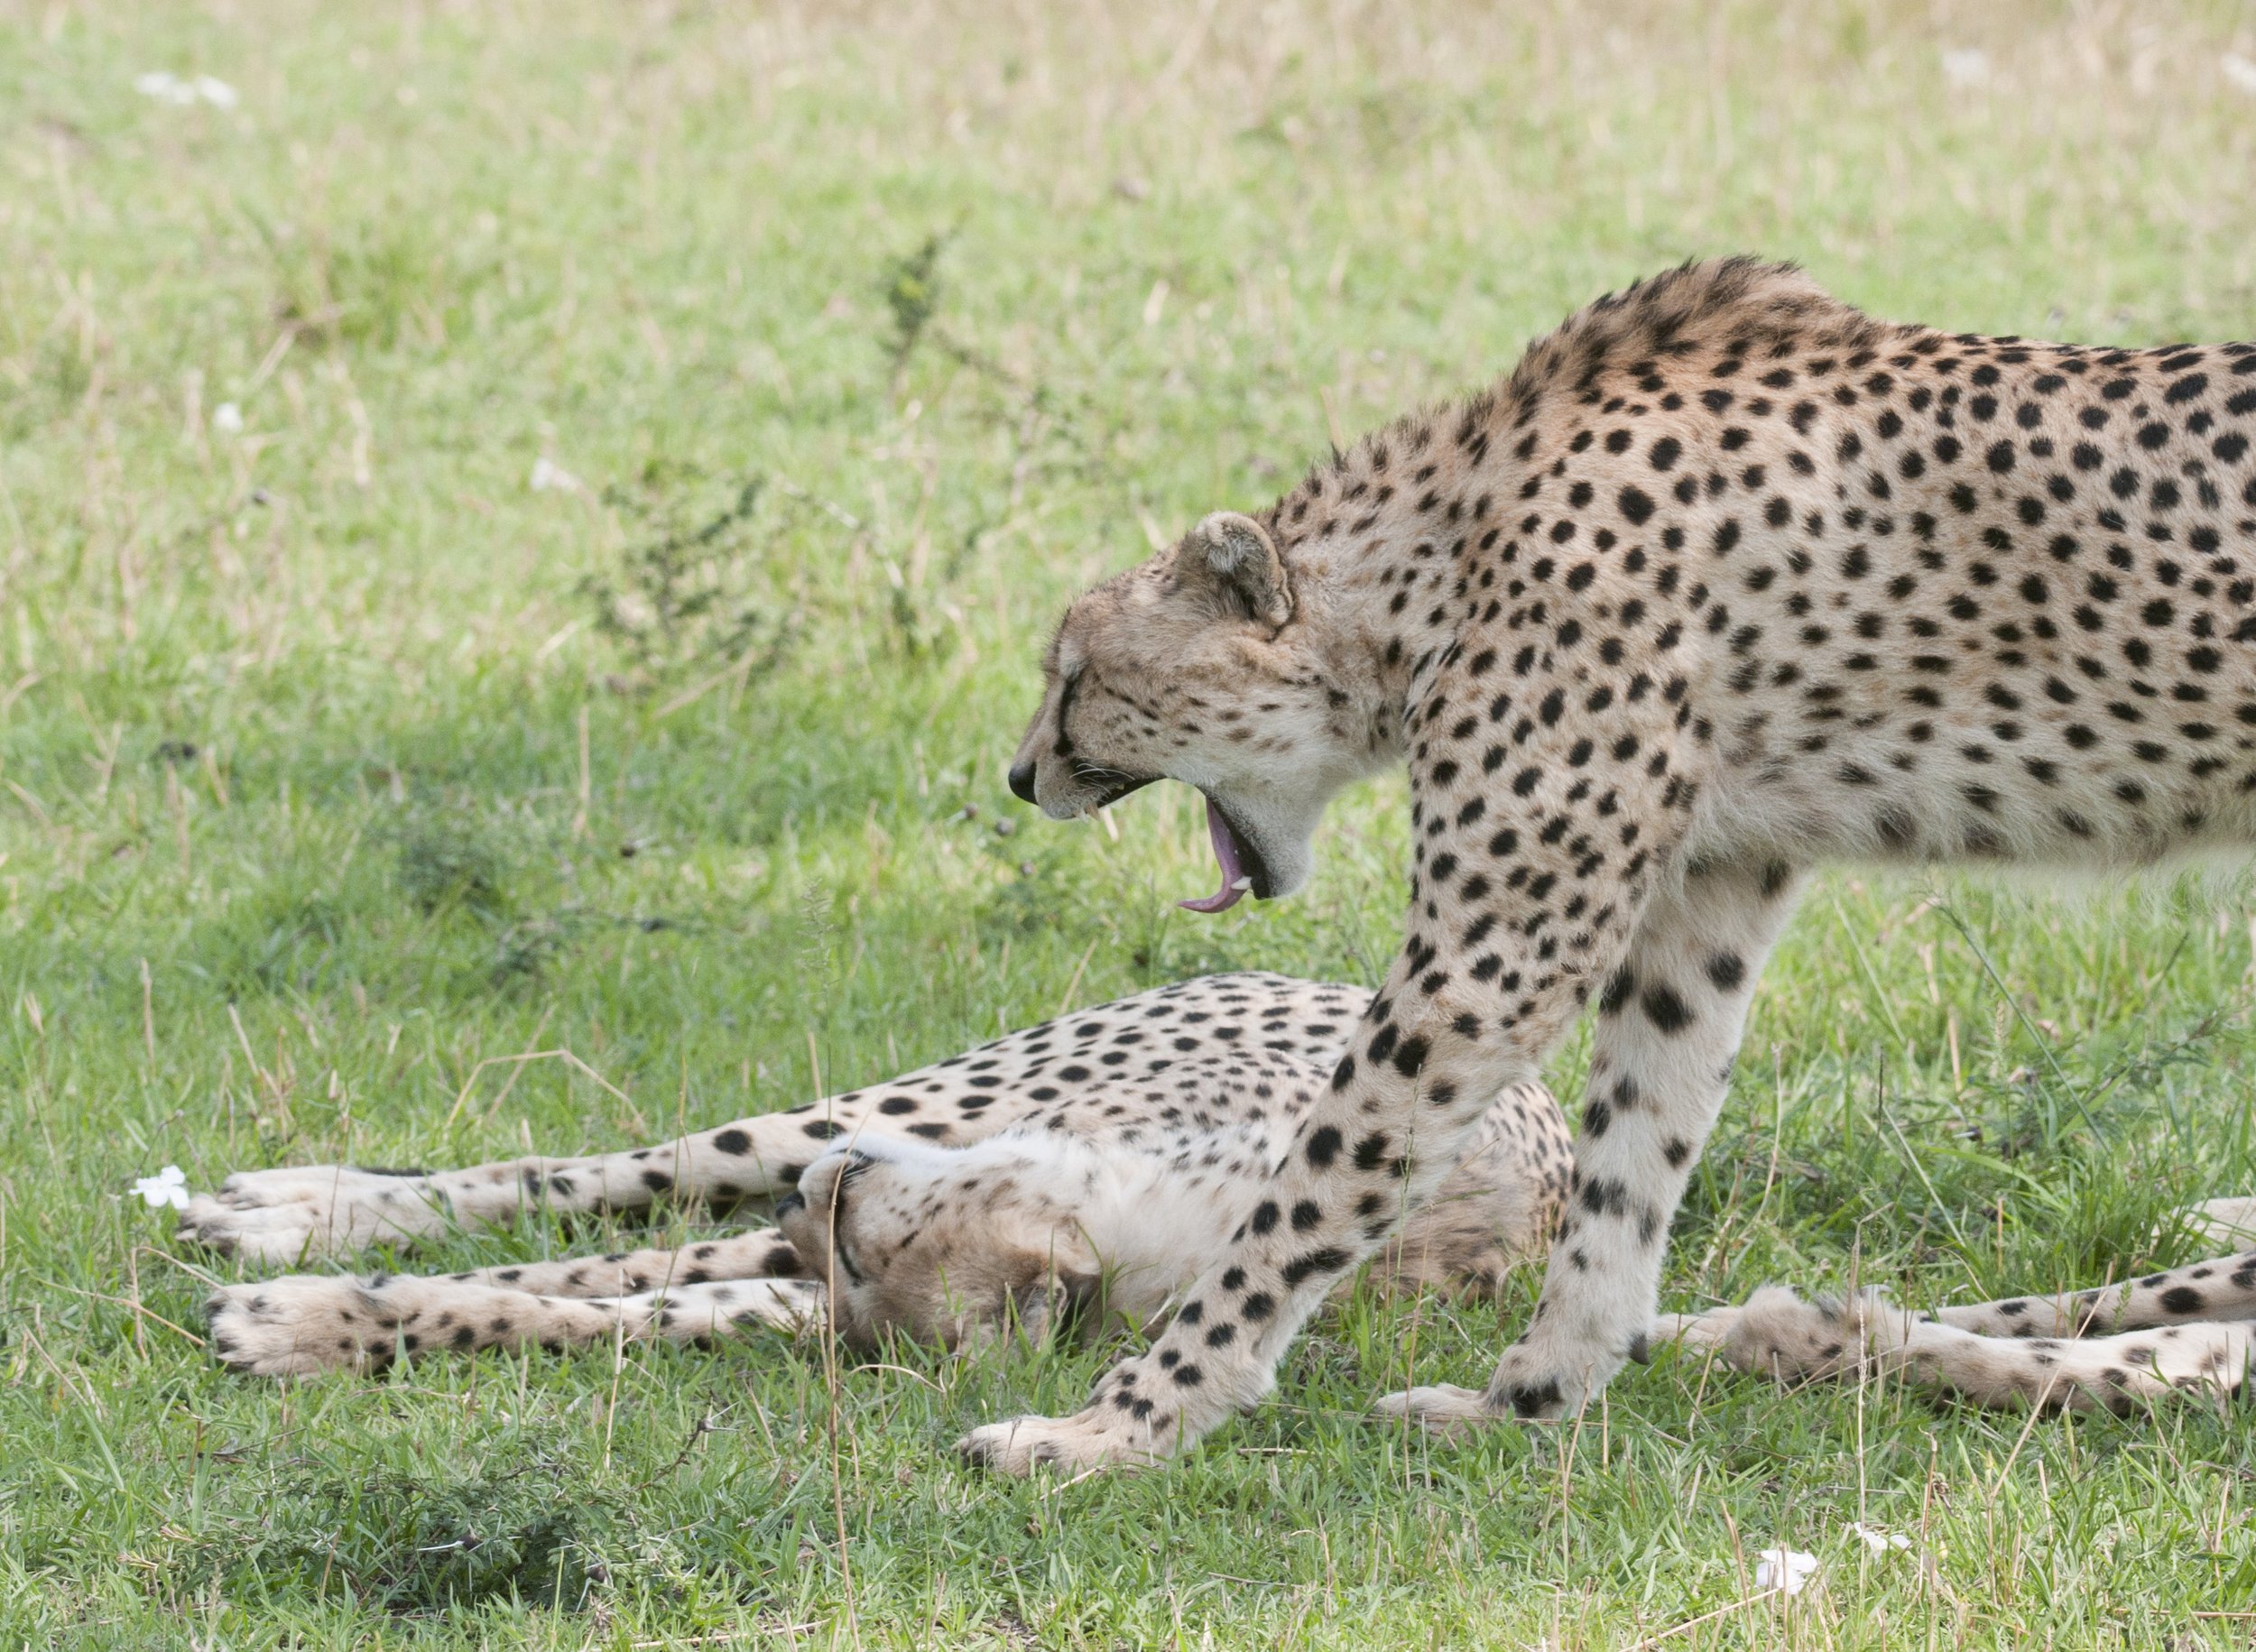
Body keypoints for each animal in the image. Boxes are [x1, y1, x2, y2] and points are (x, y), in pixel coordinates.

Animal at [973, 254, 2256, 1471]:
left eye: (1075, 675)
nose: (1022, 775)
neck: (1441, 555)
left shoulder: (1493, 959)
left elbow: (1312, 1191)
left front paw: (1121, 1424)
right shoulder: (1710, 891)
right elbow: (1635, 1152)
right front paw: (1534, 1400)